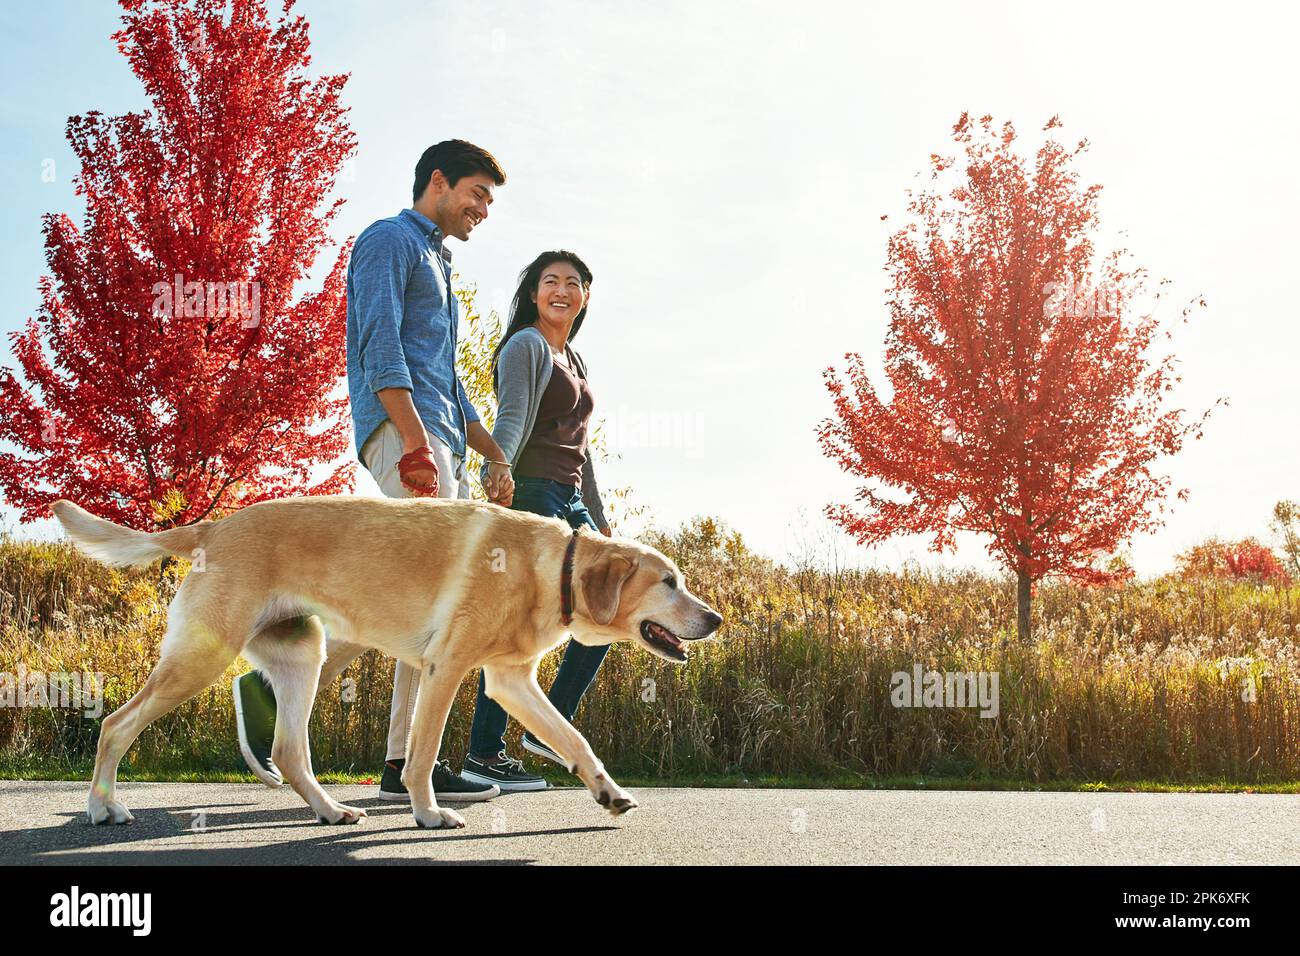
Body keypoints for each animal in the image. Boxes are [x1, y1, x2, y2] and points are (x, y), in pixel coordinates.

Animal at [50, 496, 722, 832]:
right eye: (669, 582)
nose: (715, 620)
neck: (550, 567)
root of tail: (212, 527)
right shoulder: (446, 670)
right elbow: (422, 754)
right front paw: (427, 813)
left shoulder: (511, 683)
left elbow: (574, 739)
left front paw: (609, 793)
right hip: (201, 657)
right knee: (116, 724)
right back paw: (101, 807)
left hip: (304, 655)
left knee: (289, 751)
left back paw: (328, 809)